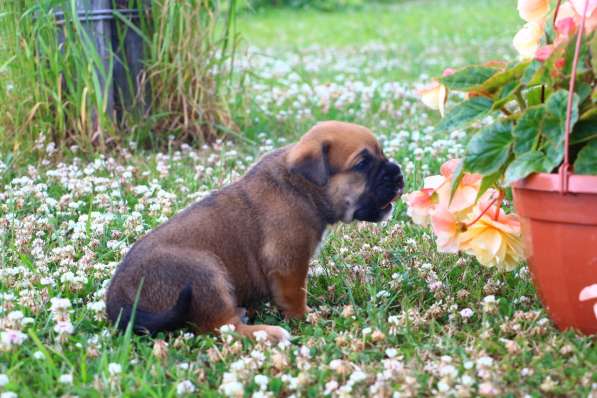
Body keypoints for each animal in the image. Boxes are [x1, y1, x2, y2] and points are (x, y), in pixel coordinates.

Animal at [107, 119, 406, 340]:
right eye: (362, 164)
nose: (399, 173)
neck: (301, 188)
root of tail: (117, 301)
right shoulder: (289, 261)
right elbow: (294, 295)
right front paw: (305, 316)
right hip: (205, 273)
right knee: (221, 328)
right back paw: (269, 333)